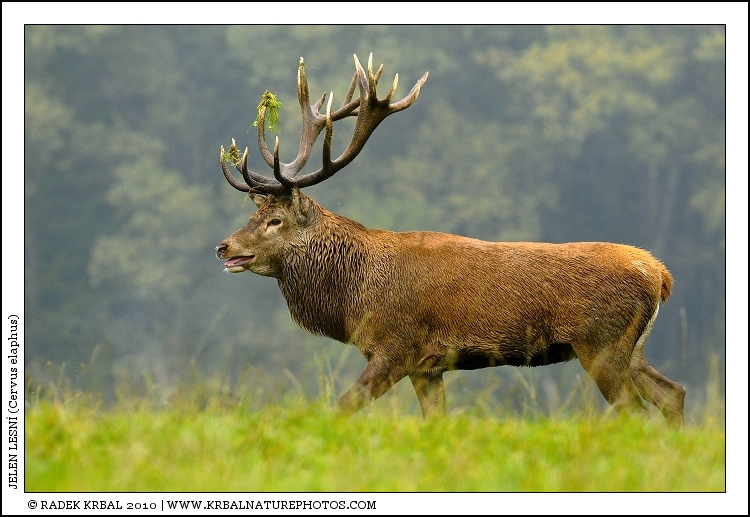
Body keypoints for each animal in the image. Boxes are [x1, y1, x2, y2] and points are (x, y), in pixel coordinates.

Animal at [215, 53, 686, 426]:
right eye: (253, 214)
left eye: (275, 220)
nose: (224, 246)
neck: (353, 298)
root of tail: (661, 275)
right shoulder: (428, 367)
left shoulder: (396, 346)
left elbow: (342, 406)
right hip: (631, 348)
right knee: (673, 393)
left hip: (602, 344)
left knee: (637, 411)